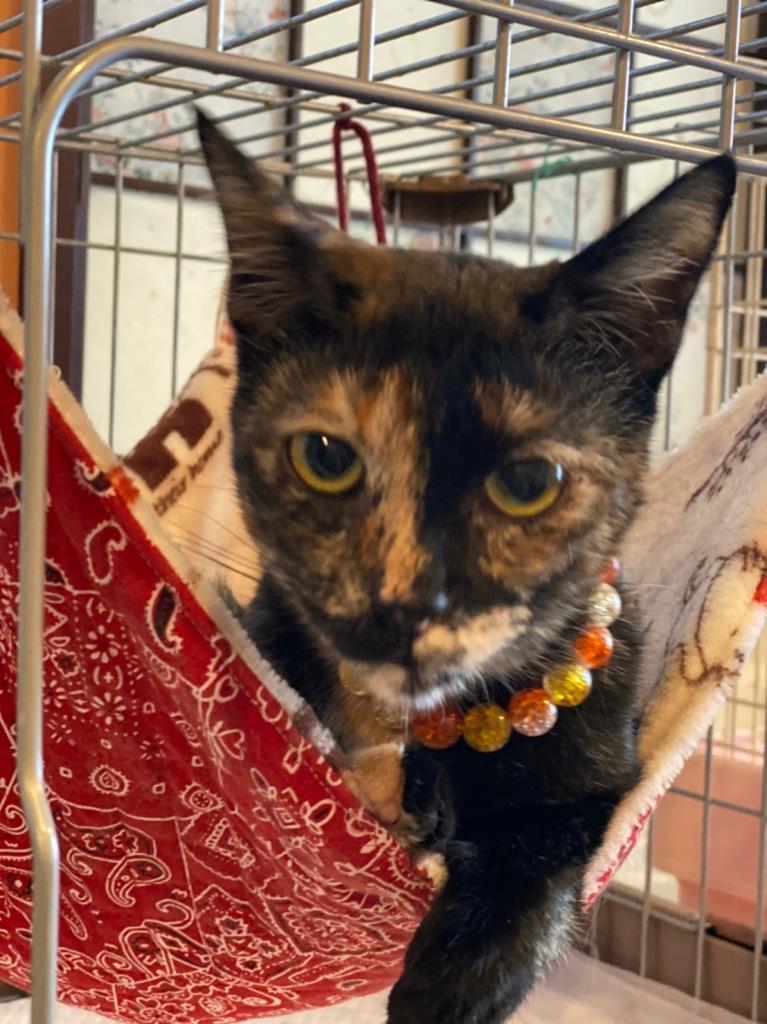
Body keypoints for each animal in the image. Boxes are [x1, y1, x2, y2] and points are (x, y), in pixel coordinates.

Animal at [197, 108, 735, 1024]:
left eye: (528, 483)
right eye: (325, 458)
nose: (403, 605)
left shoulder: (597, 773)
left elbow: (545, 855)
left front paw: (455, 983)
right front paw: (413, 794)